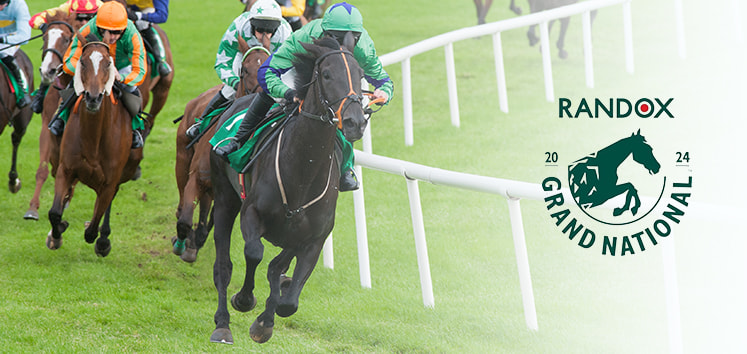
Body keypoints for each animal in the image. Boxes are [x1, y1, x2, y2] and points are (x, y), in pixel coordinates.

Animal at [23, 12, 76, 220]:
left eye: (67, 39)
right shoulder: (47, 124)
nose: (48, 70)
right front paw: (32, 208)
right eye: (45, 38)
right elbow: (43, 170)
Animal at [46, 36, 143, 258]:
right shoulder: (66, 169)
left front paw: (100, 239)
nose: (93, 97)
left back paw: (103, 238)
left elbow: (92, 228)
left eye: (108, 63)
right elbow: (54, 212)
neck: (93, 139)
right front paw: (57, 233)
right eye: (83, 62)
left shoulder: (109, 182)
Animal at [173, 35, 272, 262]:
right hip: (182, 159)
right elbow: (185, 220)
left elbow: (206, 225)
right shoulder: (196, 177)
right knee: (182, 203)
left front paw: (193, 243)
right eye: (245, 70)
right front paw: (182, 244)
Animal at [207, 32, 368, 342]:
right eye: (326, 74)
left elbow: (287, 295)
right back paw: (222, 324)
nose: (355, 121)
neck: (302, 172)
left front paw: (265, 321)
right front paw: (244, 300)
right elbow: (254, 253)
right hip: (224, 198)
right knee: (222, 265)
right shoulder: (251, 213)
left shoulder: (313, 238)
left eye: (360, 74)